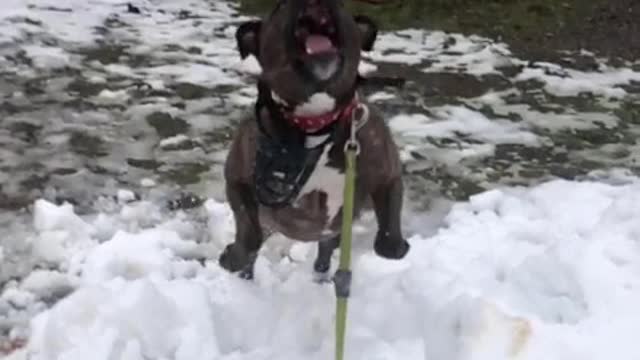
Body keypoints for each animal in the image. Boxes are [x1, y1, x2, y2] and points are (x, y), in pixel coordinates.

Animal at [220, 0, 410, 280]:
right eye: (279, 6)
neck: (316, 123)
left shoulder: (387, 174)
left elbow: (389, 232)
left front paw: (394, 244)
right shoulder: (237, 178)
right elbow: (248, 229)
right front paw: (233, 257)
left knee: (326, 248)